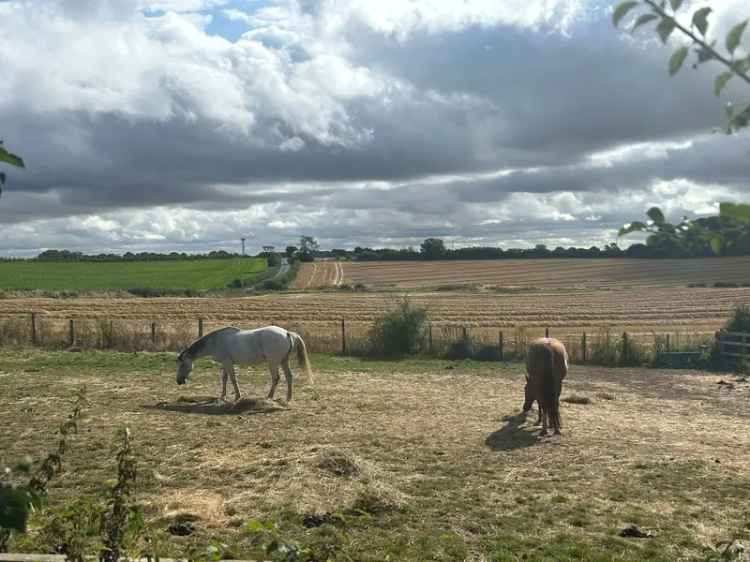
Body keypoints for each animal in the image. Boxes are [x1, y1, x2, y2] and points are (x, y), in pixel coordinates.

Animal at [177, 326, 314, 400]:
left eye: (182, 364)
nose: (179, 381)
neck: (215, 341)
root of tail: (287, 333)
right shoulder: (225, 363)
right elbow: (225, 379)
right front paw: (223, 396)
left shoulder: (228, 363)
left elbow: (232, 379)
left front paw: (237, 396)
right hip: (284, 361)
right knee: (289, 377)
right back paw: (288, 398)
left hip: (273, 362)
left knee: (276, 378)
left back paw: (269, 396)